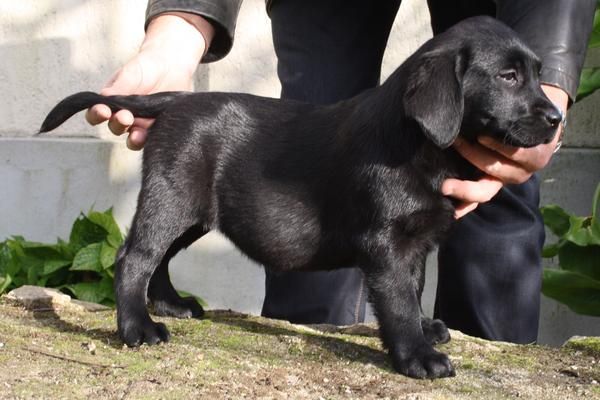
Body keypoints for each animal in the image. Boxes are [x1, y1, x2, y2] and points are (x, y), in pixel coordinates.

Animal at [39, 16, 560, 378]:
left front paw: (425, 330)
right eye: (509, 77)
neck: (420, 142)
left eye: (537, 73)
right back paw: (139, 328)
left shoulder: (415, 242)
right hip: (172, 196)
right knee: (135, 257)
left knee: (159, 258)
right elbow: (396, 298)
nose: (557, 119)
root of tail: (174, 100)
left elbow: (412, 288)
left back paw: (171, 305)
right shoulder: (386, 242)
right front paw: (417, 354)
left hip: (193, 213)